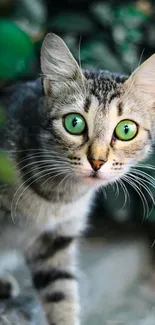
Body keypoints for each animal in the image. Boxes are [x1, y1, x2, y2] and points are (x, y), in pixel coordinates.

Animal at [0, 33, 155, 324]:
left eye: (126, 129)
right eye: (74, 123)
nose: (97, 161)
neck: (57, 198)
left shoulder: (57, 240)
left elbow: (61, 294)